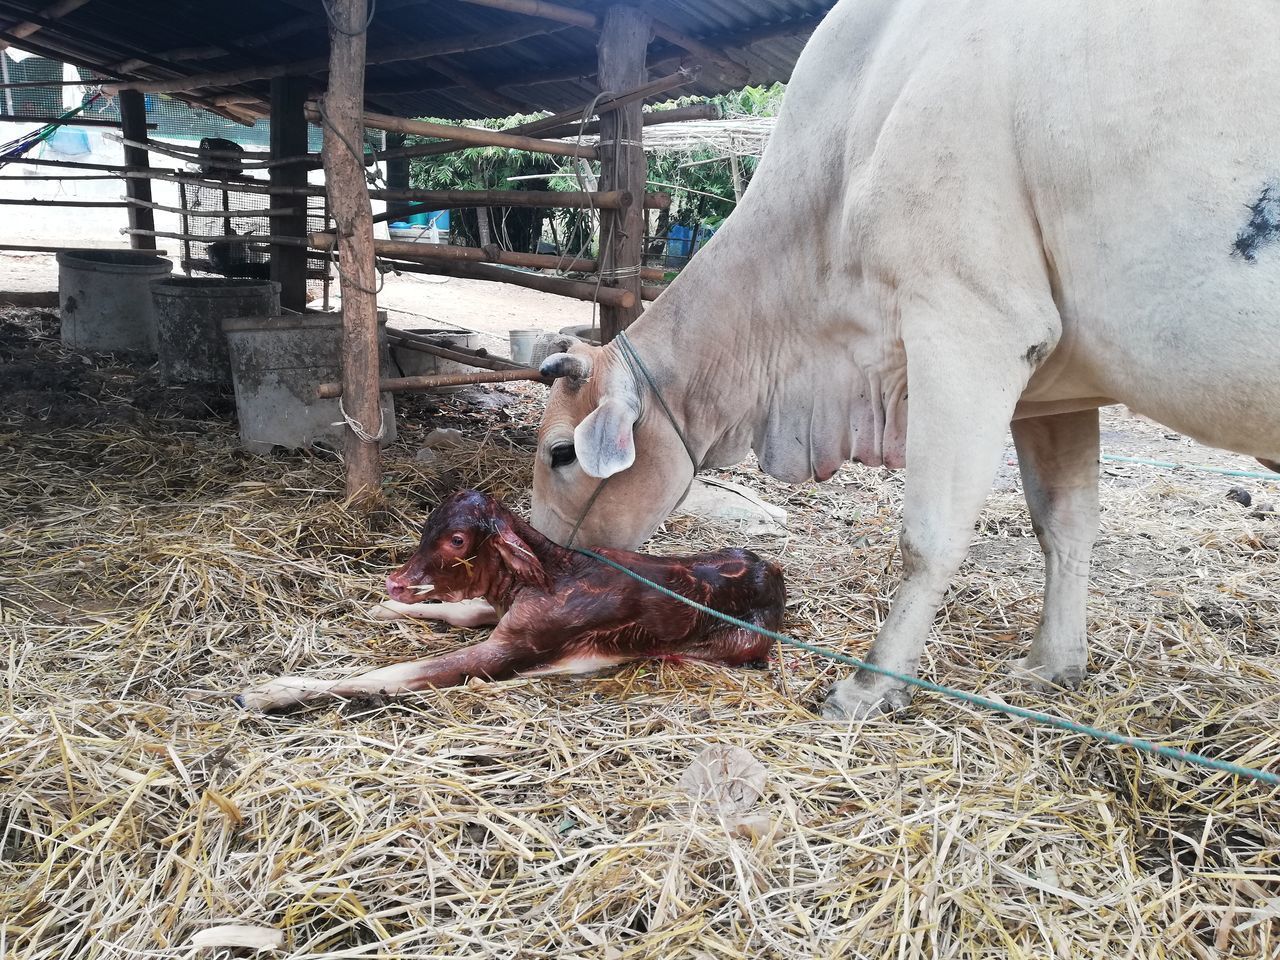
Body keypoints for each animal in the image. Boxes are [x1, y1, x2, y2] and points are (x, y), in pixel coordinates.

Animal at [236, 491, 783, 711]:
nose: (394, 583)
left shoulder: (511, 648)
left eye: (457, 540)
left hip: (732, 647)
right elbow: (460, 610)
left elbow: (395, 675)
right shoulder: (500, 614)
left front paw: (268, 692)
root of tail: (773, 573)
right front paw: (384, 608)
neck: (546, 576)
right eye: (427, 525)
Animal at [412, 0, 1280, 721]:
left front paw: (870, 687)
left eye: (561, 453)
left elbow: (929, 535)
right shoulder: (1057, 389)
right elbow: (1064, 525)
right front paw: (1052, 664)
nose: (547, 567)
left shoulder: (971, 325)